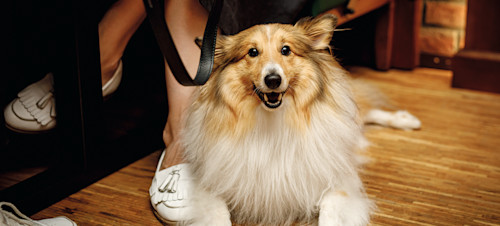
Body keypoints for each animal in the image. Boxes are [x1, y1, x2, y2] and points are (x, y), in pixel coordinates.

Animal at [182, 14, 420, 226]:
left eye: (286, 50)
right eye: (252, 52)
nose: (273, 79)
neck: (273, 121)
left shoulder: (338, 181)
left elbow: (330, 212)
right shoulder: (209, 183)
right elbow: (217, 215)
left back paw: (406, 120)